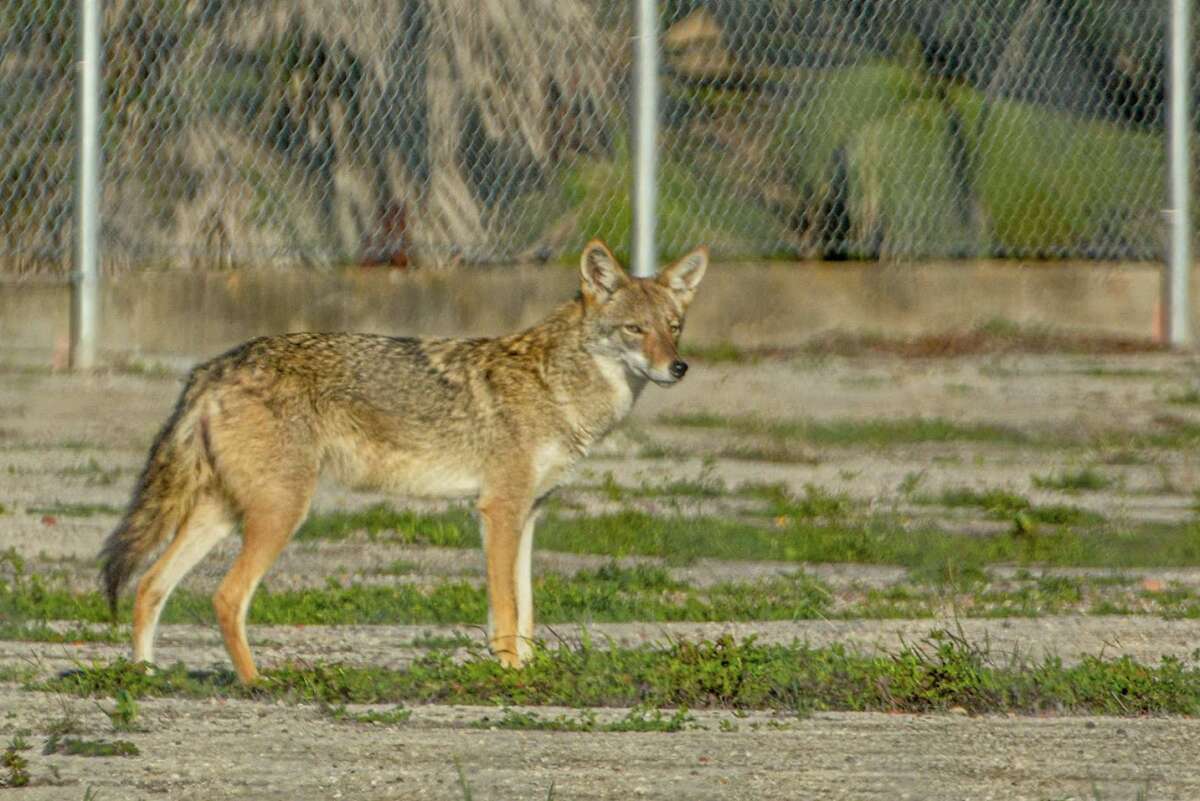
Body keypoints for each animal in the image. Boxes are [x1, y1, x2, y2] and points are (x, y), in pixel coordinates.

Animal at [99, 240, 707, 683]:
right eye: (635, 329)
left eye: (674, 326)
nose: (678, 367)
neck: (555, 386)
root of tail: (215, 365)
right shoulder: (498, 511)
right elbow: (507, 609)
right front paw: (510, 674)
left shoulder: (530, 513)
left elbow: (528, 607)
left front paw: (529, 671)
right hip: (280, 513)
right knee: (225, 597)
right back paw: (256, 682)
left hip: (225, 514)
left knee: (149, 586)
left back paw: (146, 676)